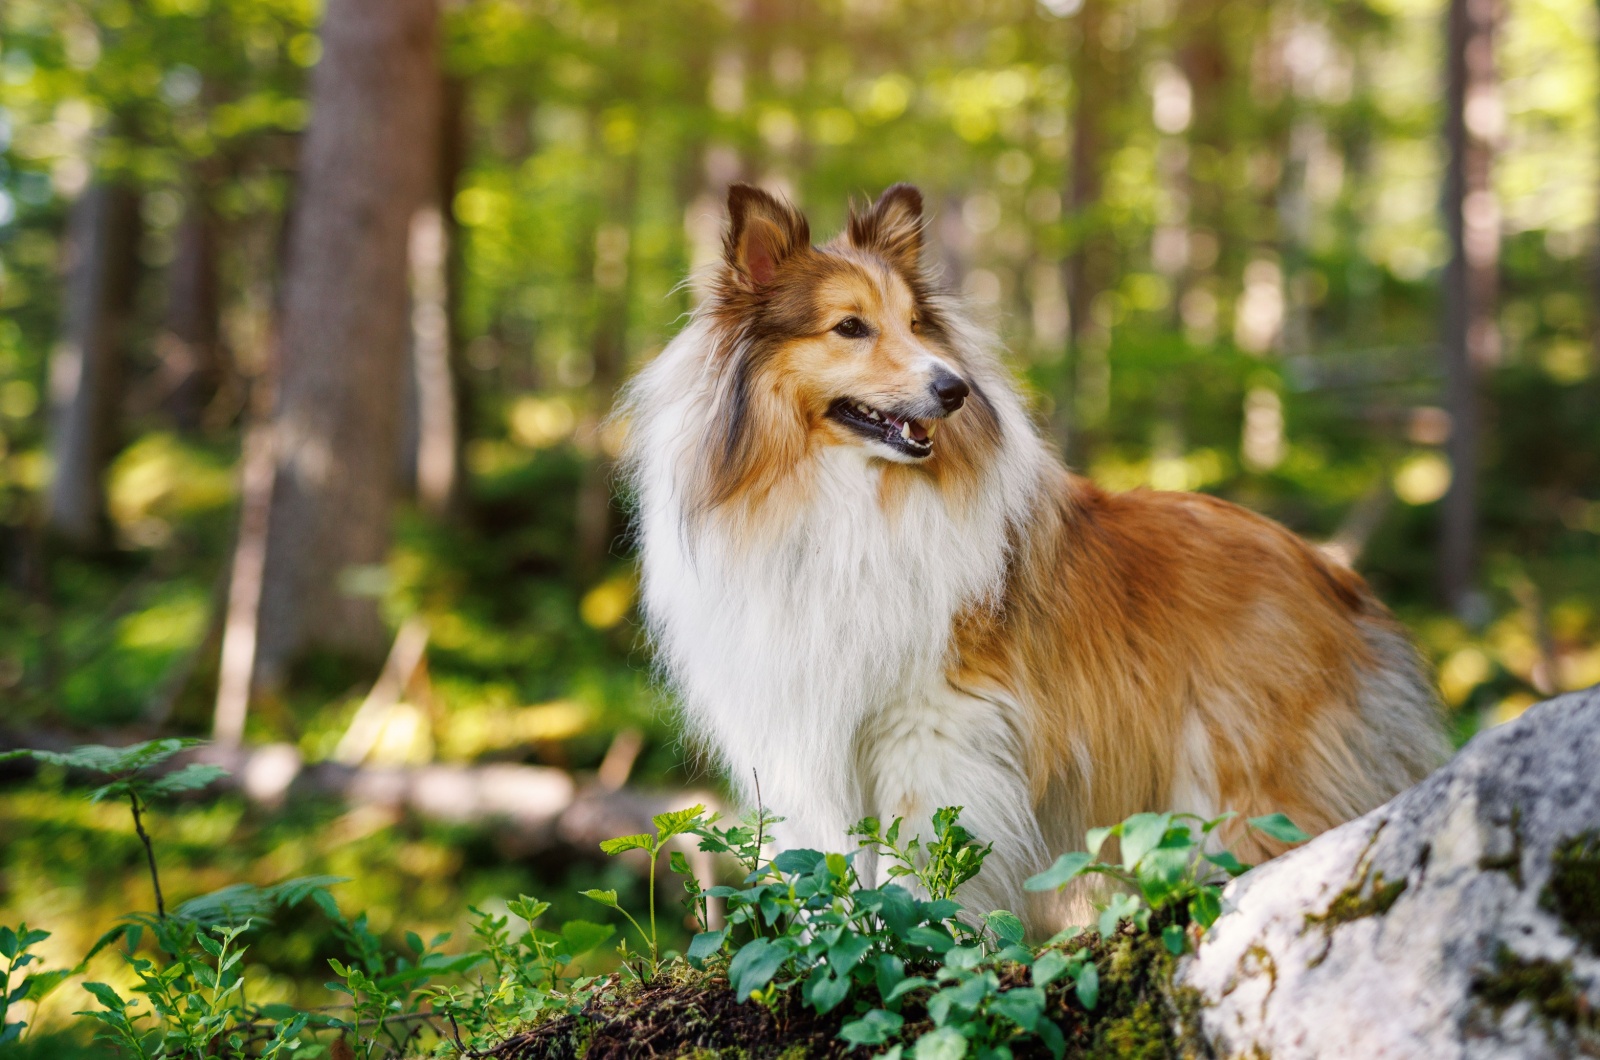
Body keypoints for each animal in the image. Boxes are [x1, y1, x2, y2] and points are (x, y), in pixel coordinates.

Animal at [624, 182, 1452, 928]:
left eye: (917, 323)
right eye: (849, 327)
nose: (954, 389)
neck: (841, 499)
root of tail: (1333, 572)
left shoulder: (932, 727)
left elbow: (916, 865)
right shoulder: (811, 740)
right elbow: (835, 867)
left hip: (1245, 786)